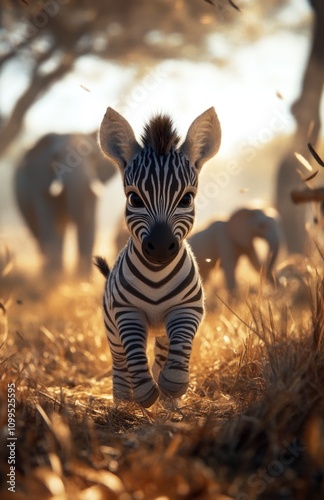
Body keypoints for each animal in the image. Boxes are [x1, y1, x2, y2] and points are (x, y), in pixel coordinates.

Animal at [15, 131, 116, 278]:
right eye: (55, 157)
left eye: (94, 157)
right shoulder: (41, 185)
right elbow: (50, 226)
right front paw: (55, 280)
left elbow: (88, 226)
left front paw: (82, 280)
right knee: (40, 235)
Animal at [95, 106, 221, 406]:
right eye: (134, 199)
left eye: (187, 199)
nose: (162, 246)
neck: (157, 274)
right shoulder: (126, 312)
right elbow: (134, 353)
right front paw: (144, 393)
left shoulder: (187, 309)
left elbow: (181, 346)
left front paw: (172, 387)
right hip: (110, 328)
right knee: (120, 363)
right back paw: (122, 403)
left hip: (162, 331)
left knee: (163, 354)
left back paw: (168, 402)